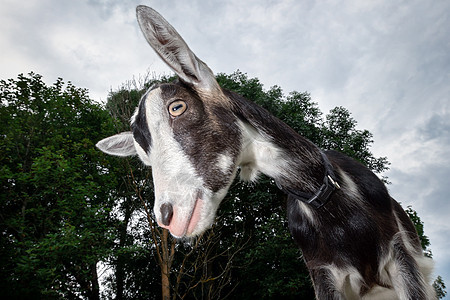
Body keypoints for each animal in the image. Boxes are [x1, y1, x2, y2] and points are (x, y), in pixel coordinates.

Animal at [97, 5, 436, 298]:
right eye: (143, 155)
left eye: (177, 107)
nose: (168, 216)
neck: (331, 199)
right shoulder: (322, 273)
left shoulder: (401, 255)